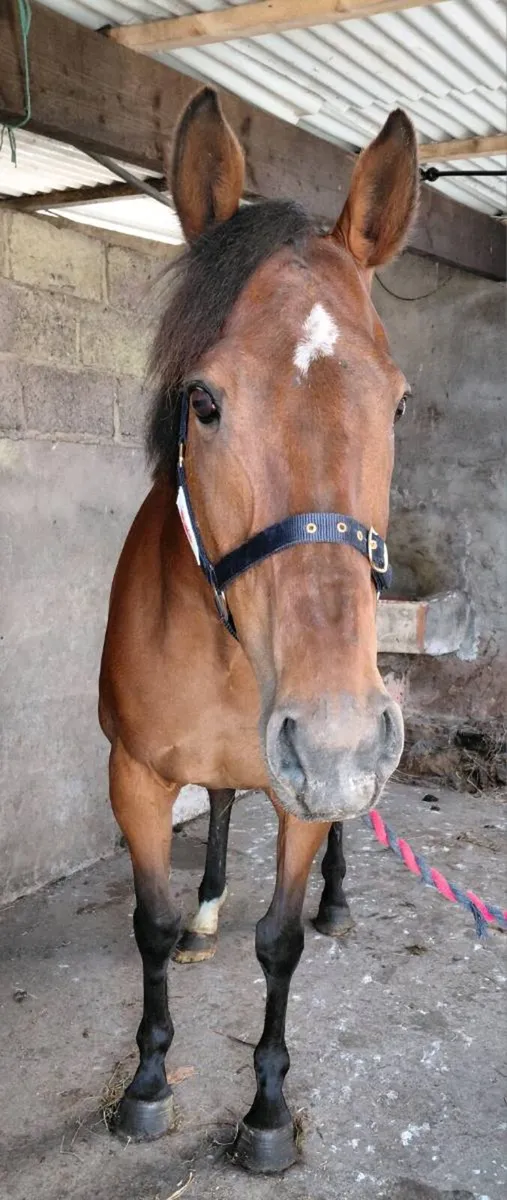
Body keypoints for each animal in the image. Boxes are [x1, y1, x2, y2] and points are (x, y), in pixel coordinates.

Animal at [99, 85, 418, 1174]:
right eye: (204, 400)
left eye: (396, 402)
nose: (331, 741)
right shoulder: (134, 775)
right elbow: (150, 927)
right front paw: (148, 1081)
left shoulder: (307, 789)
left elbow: (277, 941)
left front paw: (268, 1111)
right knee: (225, 805)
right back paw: (208, 908)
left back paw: (339, 898)